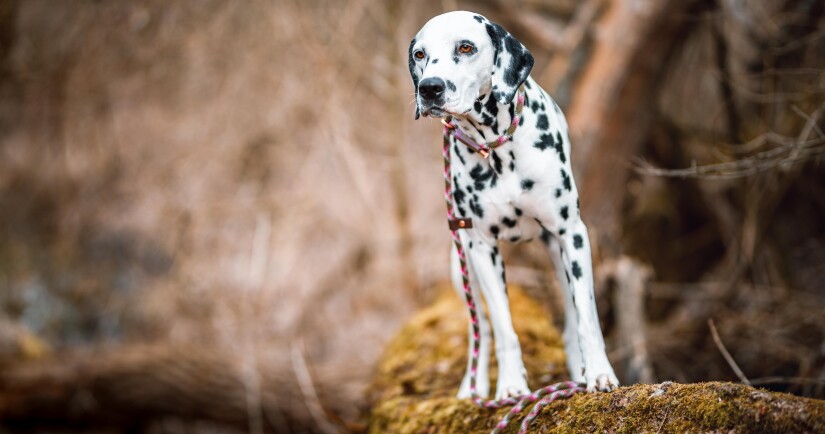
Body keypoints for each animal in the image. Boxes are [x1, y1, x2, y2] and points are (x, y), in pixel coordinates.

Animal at [408, 11, 616, 400]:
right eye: (420, 54)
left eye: (466, 47)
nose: (430, 88)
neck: (497, 150)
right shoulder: (481, 248)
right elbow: (504, 329)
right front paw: (510, 385)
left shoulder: (572, 234)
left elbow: (587, 319)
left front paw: (599, 372)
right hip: (462, 266)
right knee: (481, 329)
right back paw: (472, 386)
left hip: (560, 256)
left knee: (571, 316)